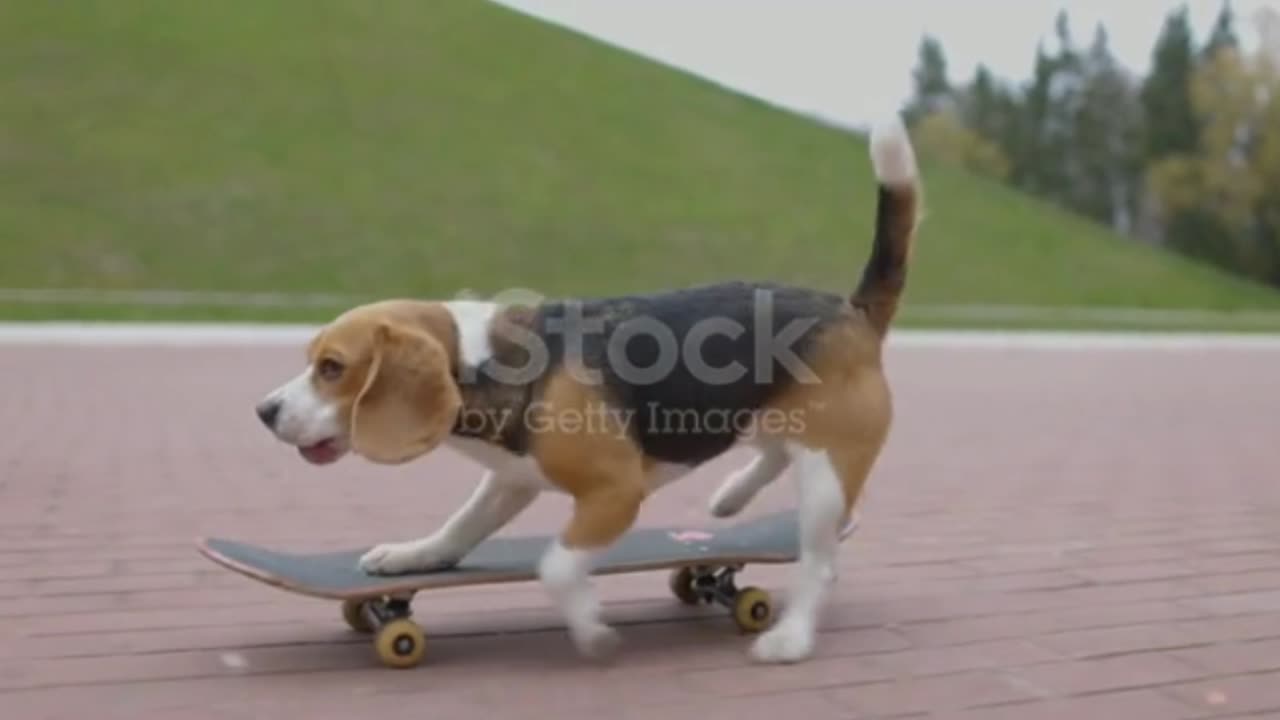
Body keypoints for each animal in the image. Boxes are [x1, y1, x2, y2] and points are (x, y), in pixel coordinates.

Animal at [254, 117, 916, 661]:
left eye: (332, 367)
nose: (263, 410)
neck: (479, 360)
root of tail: (851, 310)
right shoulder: (510, 478)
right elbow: (461, 526)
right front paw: (413, 556)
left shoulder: (615, 493)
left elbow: (555, 566)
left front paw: (591, 628)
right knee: (773, 453)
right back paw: (730, 497)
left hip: (827, 473)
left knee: (819, 562)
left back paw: (791, 638)